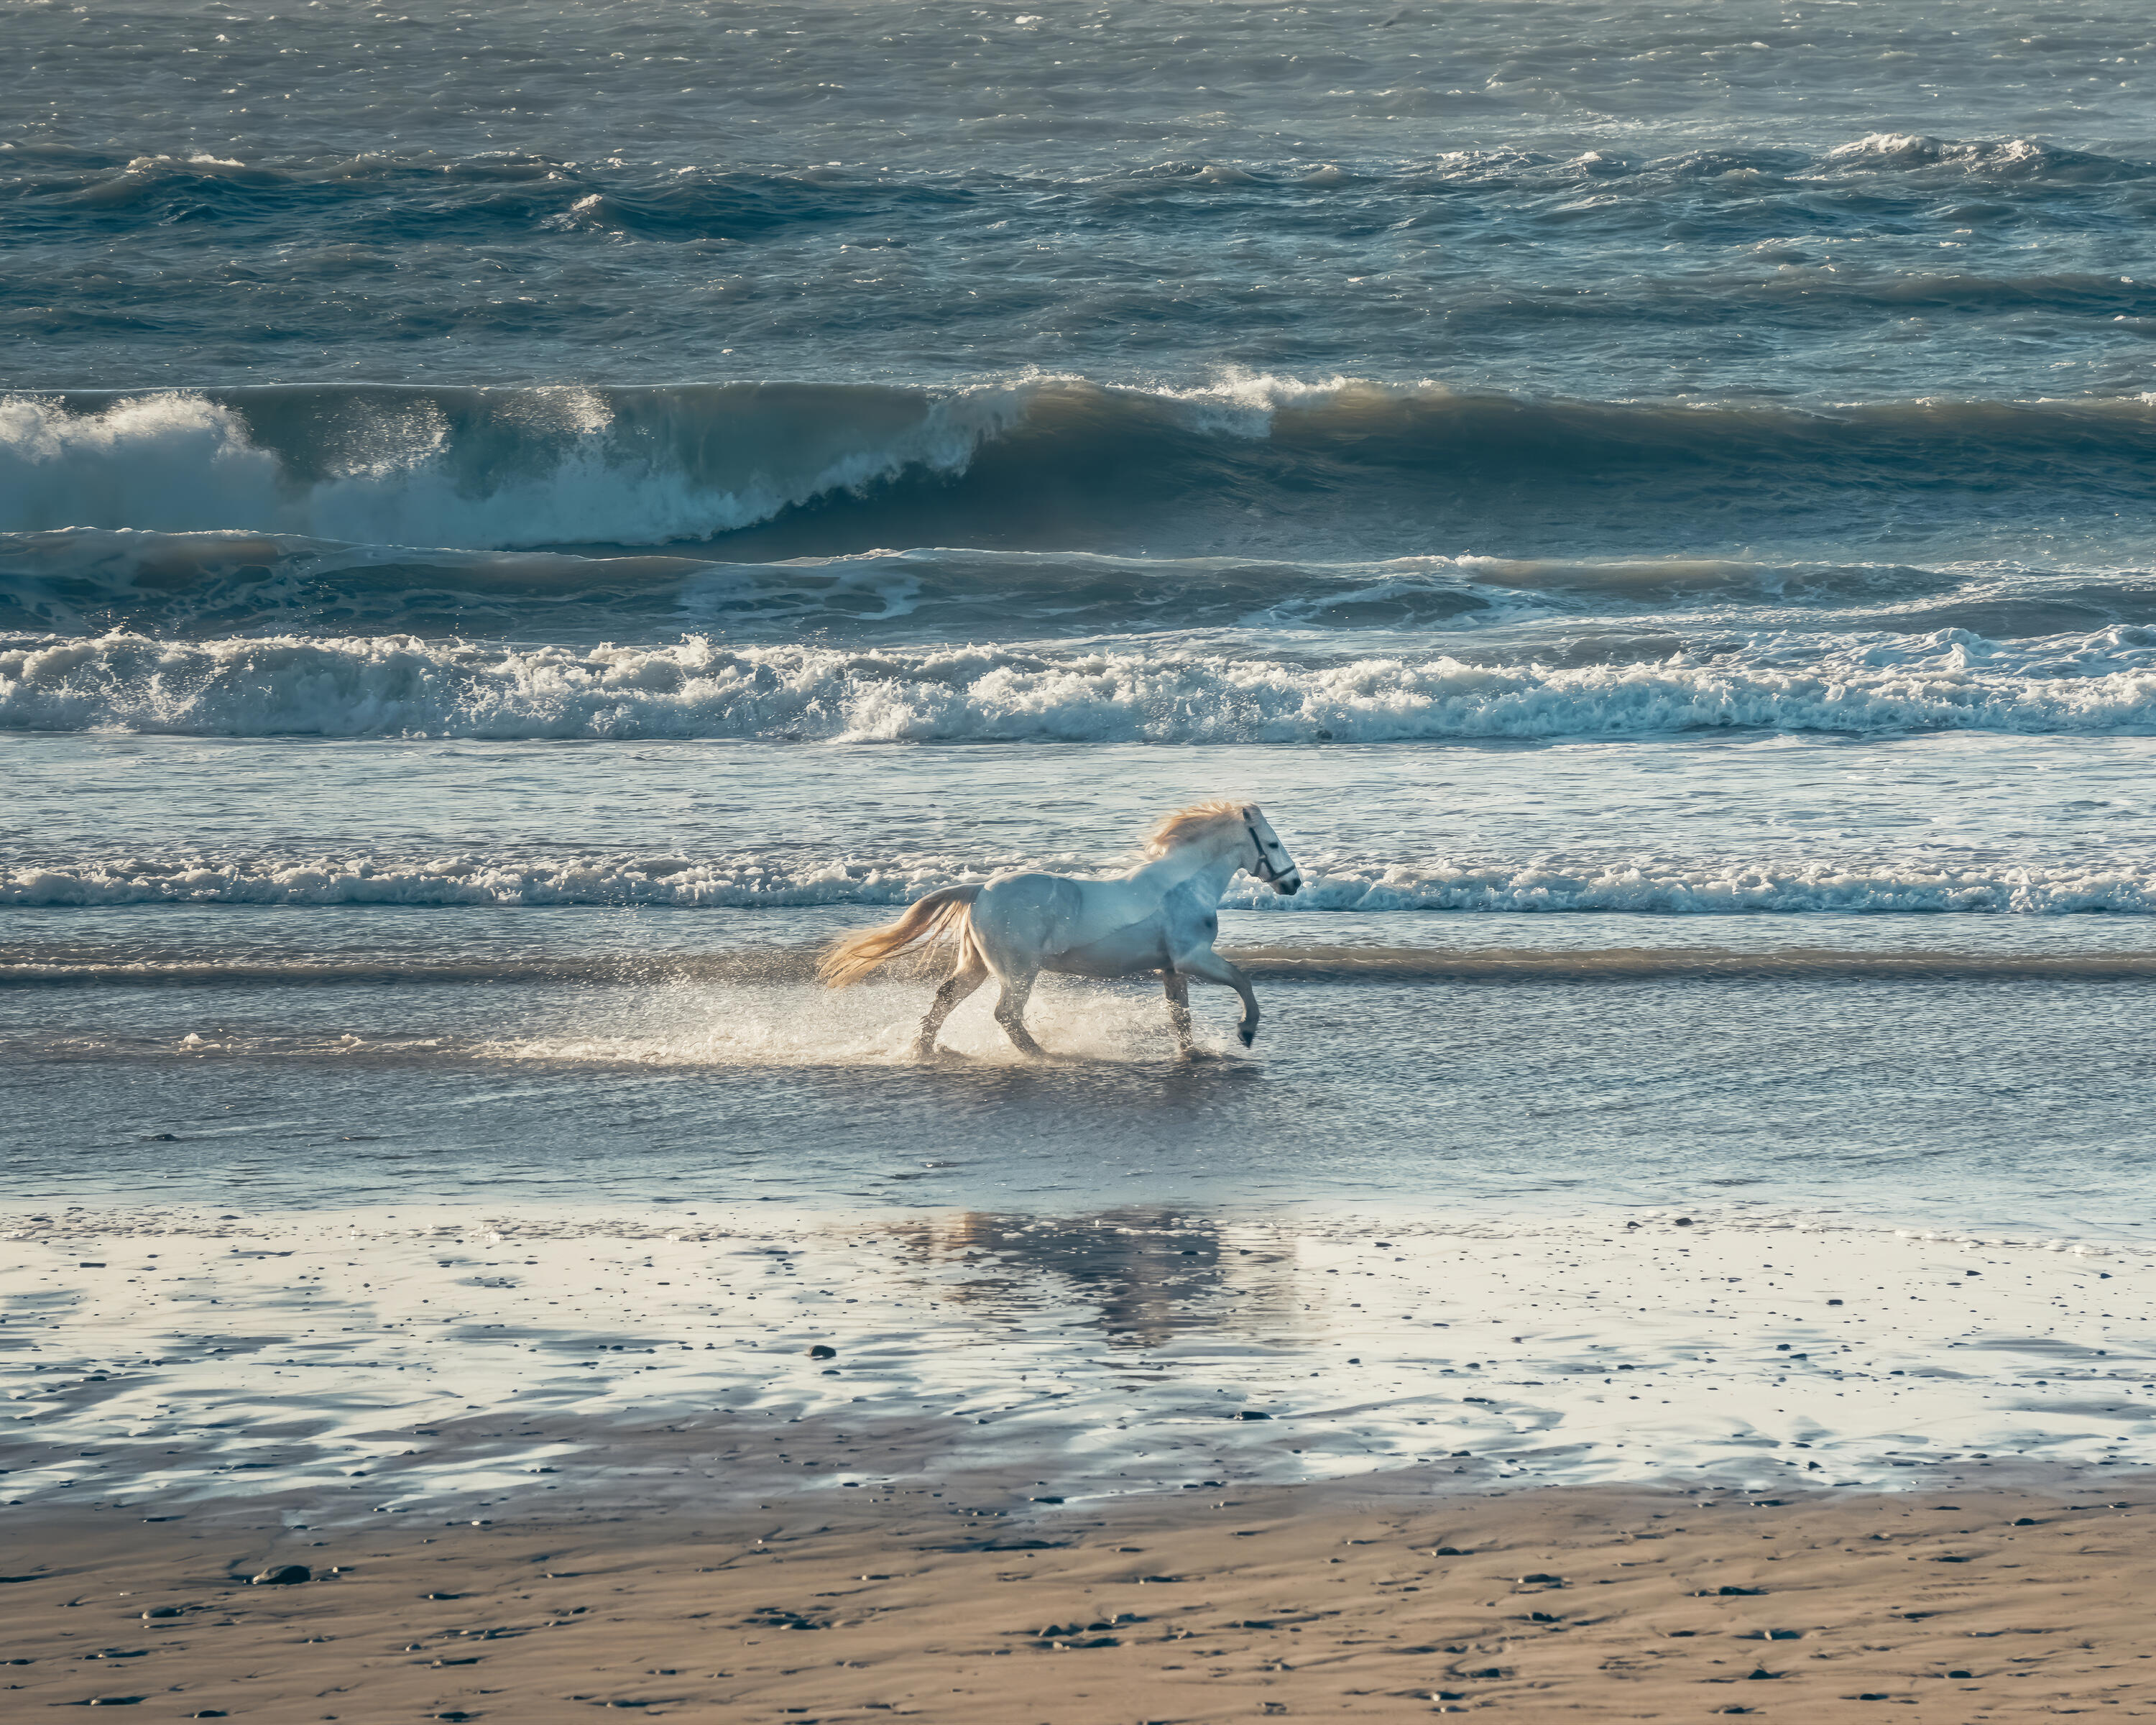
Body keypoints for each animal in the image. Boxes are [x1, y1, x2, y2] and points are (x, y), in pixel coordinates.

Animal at [817, 799, 1303, 1059]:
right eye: (1273, 843)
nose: (1293, 883)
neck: (1184, 886)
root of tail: (980, 890)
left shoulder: (1171, 968)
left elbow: (1179, 1015)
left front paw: (1193, 1053)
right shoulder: (1193, 957)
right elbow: (1242, 980)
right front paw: (1246, 1031)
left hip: (977, 965)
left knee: (944, 999)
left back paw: (927, 1051)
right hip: (1018, 971)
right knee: (1006, 1015)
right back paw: (1044, 1056)